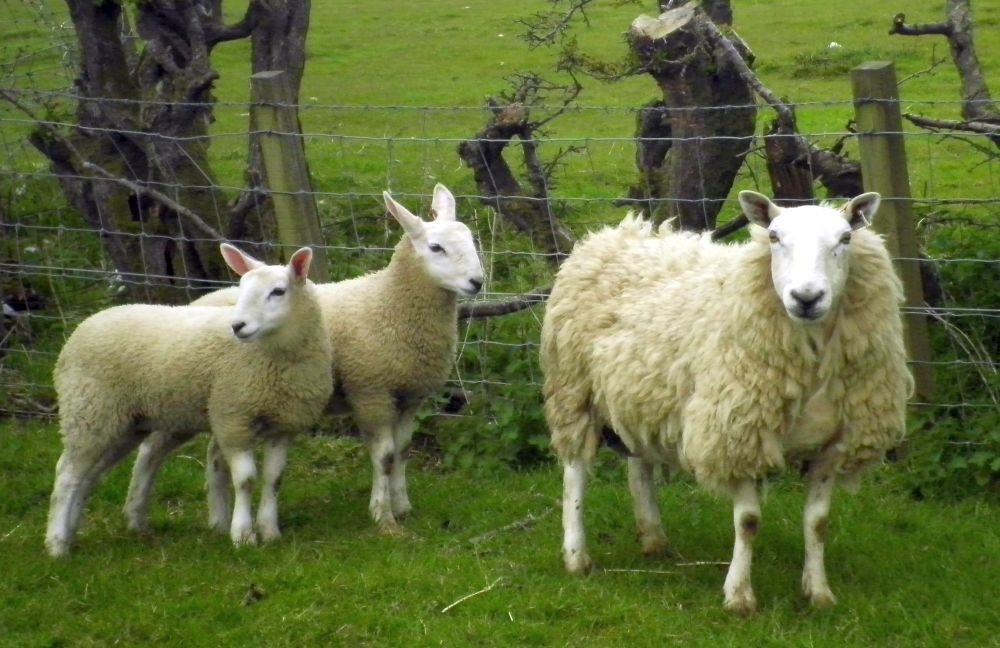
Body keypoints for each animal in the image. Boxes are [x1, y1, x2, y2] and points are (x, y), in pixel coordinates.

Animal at [47, 243, 332, 556]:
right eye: (242, 288)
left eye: (278, 291)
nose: (238, 326)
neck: (274, 358)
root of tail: (83, 327)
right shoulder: (233, 420)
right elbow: (246, 480)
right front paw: (243, 535)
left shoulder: (284, 426)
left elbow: (274, 479)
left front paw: (270, 532)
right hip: (91, 411)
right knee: (67, 473)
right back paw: (57, 545)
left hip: (130, 422)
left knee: (90, 475)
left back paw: (78, 533)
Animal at [129, 185, 484, 536]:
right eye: (436, 247)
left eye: (470, 239)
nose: (477, 282)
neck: (389, 301)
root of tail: (200, 299)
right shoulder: (371, 391)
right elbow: (384, 457)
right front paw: (383, 515)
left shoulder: (410, 396)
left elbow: (403, 450)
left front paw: (402, 505)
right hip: (178, 394)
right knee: (150, 449)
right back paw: (136, 517)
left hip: (227, 400)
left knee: (214, 453)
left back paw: (218, 520)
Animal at [540, 191, 916, 612]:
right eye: (773, 236)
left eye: (845, 238)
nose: (806, 298)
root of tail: (614, 234)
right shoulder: (739, 434)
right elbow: (748, 522)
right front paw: (739, 596)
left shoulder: (833, 447)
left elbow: (818, 524)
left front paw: (818, 592)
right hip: (574, 388)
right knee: (575, 471)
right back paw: (577, 557)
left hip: (641, 393)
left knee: (639, 466)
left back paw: (653, 539)